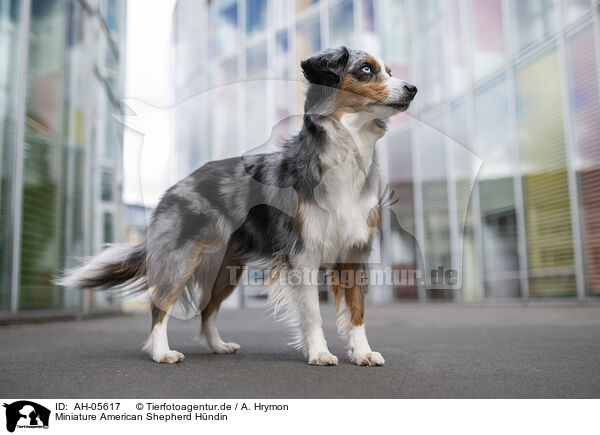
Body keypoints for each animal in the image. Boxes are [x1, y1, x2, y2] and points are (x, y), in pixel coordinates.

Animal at [59, 46, 418, 368]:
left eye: (389, 70)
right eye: (367, 69)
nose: (413, 88)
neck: (346, 153)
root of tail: (176, 186)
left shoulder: (354, 251)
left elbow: (357, 312)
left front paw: (362, 353)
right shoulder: (302, 253)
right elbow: (313, 314)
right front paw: (318, 353)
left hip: (226, 269)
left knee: (207, 309)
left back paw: (218, 346)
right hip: (181, 258)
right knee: (160, 307)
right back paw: (162, 352)